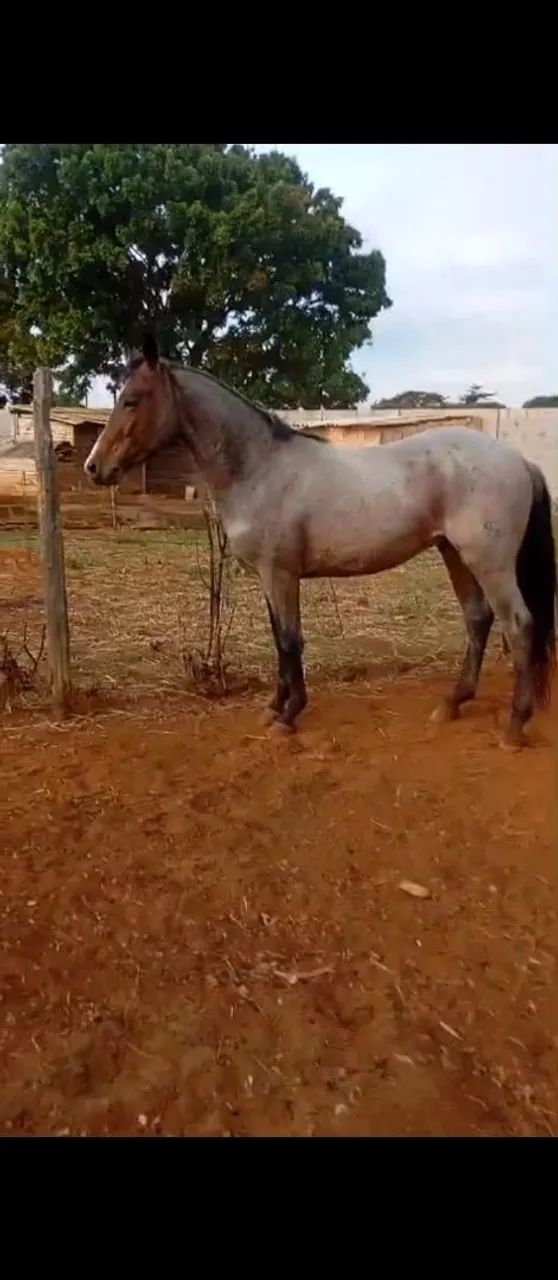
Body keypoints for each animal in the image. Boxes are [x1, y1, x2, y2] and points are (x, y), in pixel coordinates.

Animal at [84, 335, 556, 751]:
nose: (94, 467)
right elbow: (279, 638)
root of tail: (518, 460)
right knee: (478, 619)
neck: (259, 467)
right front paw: (274, 708)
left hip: (489, 562)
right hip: (454, 553)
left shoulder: (280, 574)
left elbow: (290, 640)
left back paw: (515, 726)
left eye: (132, 400)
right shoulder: (269, 577)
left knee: (519, 625)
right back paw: (452, 704)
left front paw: (290, 715)